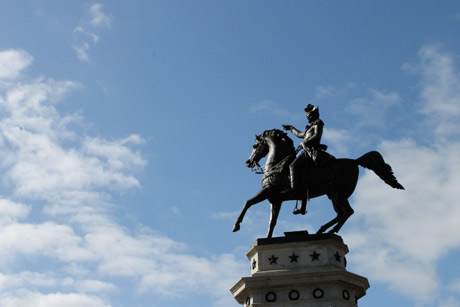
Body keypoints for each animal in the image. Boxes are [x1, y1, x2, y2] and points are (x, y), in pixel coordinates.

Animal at [232, 129, 404, 239]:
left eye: (255, 146)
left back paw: (330, 231)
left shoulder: (267, 192)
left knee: (348, 211)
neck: (277, 166)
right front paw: (267, 238)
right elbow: (272, 222)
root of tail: (355, 161)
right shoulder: (276, 200)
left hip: (338, 193)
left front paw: (236, 226)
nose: (248, 162)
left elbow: (247, 203)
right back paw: (321, 230)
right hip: (332, 195)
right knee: (340, 213)